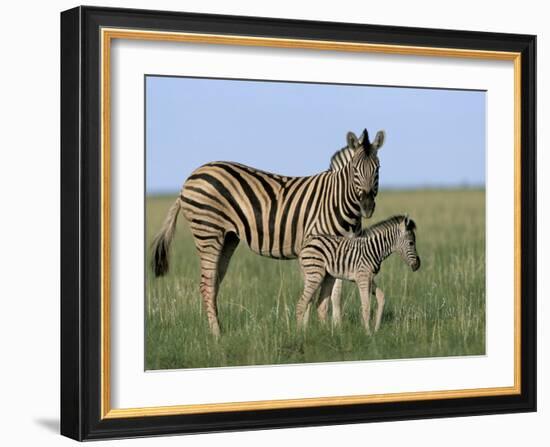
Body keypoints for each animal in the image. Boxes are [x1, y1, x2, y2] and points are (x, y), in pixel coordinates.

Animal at [150, 129, 384, 336]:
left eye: (378, 168)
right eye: (354, 169)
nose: (367, 206)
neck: (337, 200)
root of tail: (191, 177)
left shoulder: (342, 250)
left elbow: (336, 292)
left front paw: (336, 329)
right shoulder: (317, 246)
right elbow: (316, 292)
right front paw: (306, 330)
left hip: (227, 238)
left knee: (214, 282)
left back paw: (218, 329)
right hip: (207, 231)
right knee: (206, 284)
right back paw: (216, 335)